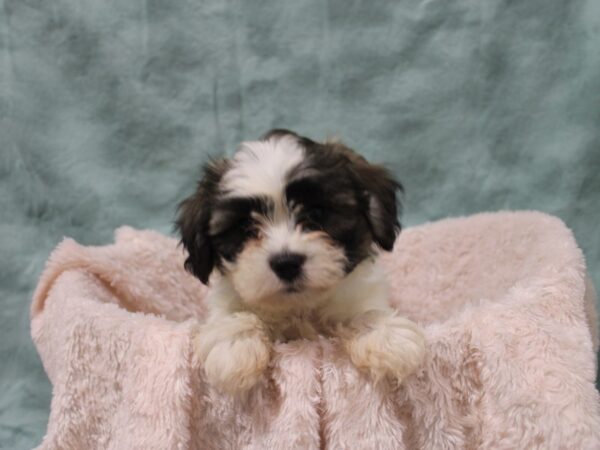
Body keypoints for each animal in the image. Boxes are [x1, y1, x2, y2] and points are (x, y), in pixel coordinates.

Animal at [176, 130, 424, 394]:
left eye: (315, 215)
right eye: (246, 228)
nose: (286, 263)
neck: (300, 307)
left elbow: (366, 312)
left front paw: (387, 337)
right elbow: (233, 316)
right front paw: (235, 346)